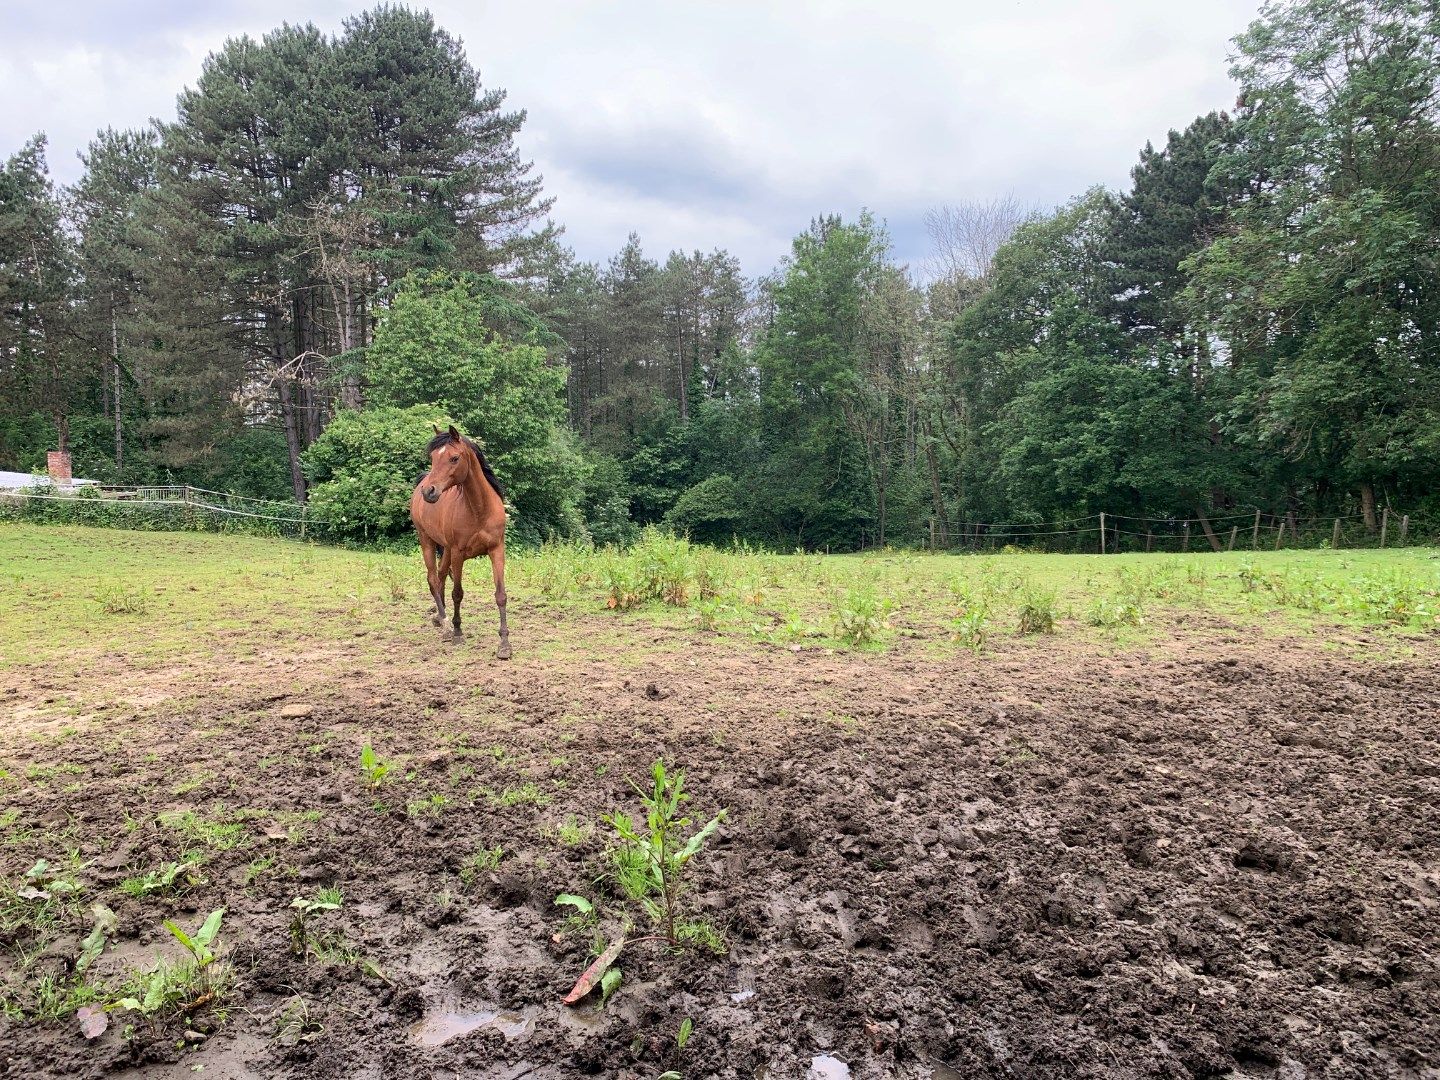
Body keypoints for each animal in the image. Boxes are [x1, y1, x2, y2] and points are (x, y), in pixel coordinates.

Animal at [411, 423, 512, 659]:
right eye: (433, 458)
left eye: (454, 458)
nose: (429, 491)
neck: (479, 509)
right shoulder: (458, 554)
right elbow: (457, 593)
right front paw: (458, 632)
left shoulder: (497, 550)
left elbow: (501, 595)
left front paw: (504, 644)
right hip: (426, 541)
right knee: (433, 579)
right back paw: (446, 625)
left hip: (445, 549)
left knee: (440, 577)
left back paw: (440, 619)